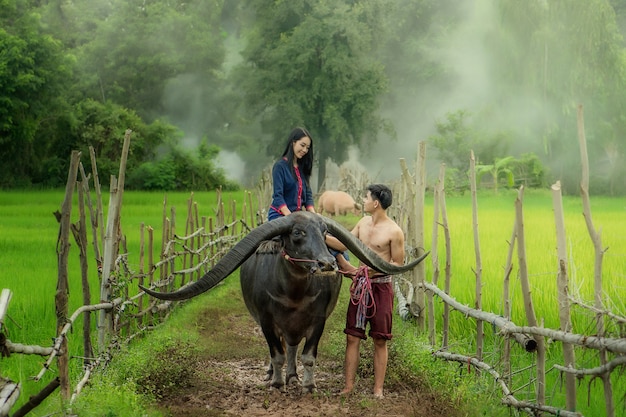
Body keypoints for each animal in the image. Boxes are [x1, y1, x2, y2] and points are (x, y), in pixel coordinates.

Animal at [139, 213, 426, 392]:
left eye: (324, 232)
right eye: (298, 232)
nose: (327, 264)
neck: (293, 292)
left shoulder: (317, 322)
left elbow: (307, 356)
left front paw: (308, 385)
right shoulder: (266, 321)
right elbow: (275, 353)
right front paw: (276, 383)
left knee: (292, 347)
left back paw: (292, 375)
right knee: (279, 350)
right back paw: (275, 374)